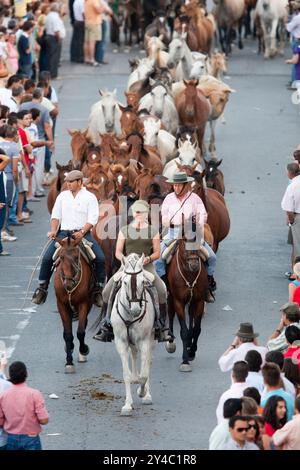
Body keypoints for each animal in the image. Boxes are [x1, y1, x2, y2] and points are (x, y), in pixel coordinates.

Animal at [54, 233, 93, 372]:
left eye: (77, 257)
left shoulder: (84, 303)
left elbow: (80, 332)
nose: (68, 283)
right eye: (61, 257)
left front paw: (84, 350)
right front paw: (69, 362)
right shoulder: (61, 304)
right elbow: (68, 334)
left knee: (84, 323)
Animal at [109, 253, 156, 414]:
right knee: (135, 354)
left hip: (150, 338)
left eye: (143, 281)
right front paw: (127, 405)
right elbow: (126, 374)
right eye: (124, 282)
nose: (136, 310)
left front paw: (142, 393)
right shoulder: (121, 342)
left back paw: (146, 394)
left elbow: (144, 374)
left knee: (146, 362)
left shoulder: (144, 341)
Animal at [166, 222, 209, 372]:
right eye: (184, 240)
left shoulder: (199, 300)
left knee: (191, 316)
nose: (194, 264)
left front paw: (191, 352)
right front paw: (185, 361)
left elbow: (197, 329)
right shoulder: (178, 301)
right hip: (170, 297)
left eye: (199, 238)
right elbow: (184, 332)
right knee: (170, 314)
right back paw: (170, 341)